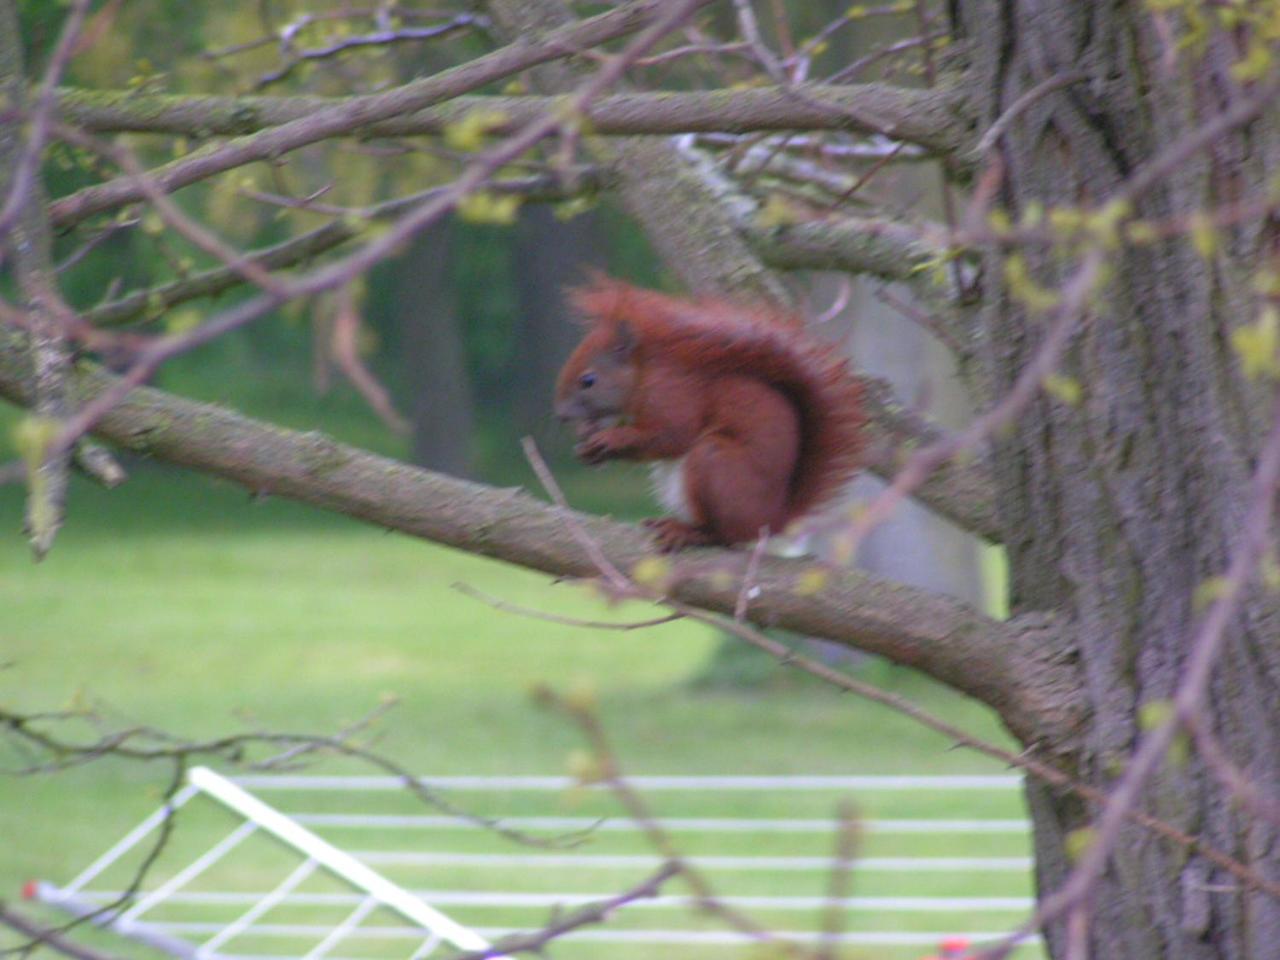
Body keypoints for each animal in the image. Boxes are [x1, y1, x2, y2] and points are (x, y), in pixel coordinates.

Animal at [555, 276, 865, 547]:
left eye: (588, 380)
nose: (560, 415)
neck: (643, 375)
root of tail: (770, 520)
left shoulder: (672, 394)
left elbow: (672, 436)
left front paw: (611, 439)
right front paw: (588, 447)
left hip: (716, 464)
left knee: (724, 535)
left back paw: (688, 532)